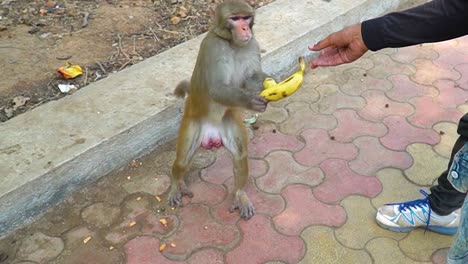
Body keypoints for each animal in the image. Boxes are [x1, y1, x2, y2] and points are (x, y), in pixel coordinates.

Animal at [168, 0, 270, 221]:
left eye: (246, 18)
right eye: (235, 19)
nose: (245, 28)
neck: (232, 44)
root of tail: (211, 133)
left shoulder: (252, 44)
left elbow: (251, 77)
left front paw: (268, 81)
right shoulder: (214, 48)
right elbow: (217, 88)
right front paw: (251, 102)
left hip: (228, 121)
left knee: (240, 155)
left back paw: (239, 193)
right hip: (192, 122)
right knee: (182, 161)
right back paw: (176, 183)